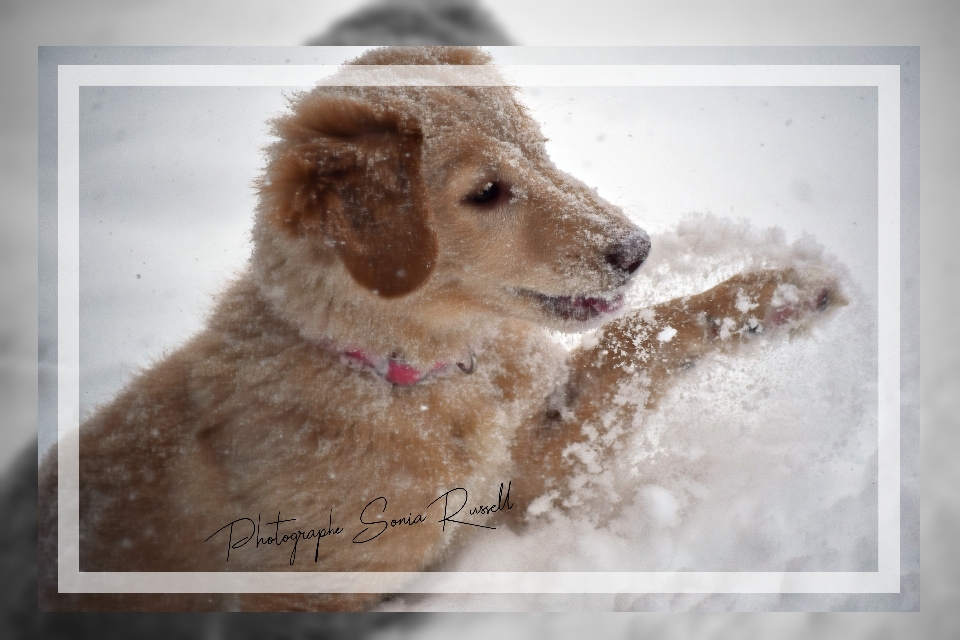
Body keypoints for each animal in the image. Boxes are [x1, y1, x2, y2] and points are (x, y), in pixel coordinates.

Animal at [39, 47, 840, 612]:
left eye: (540, 153)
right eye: (485, 192)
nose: (636, 250)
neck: (420, 378)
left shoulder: (531, 473)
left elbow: (634, 341)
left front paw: (774, 298)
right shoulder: (323, 583)